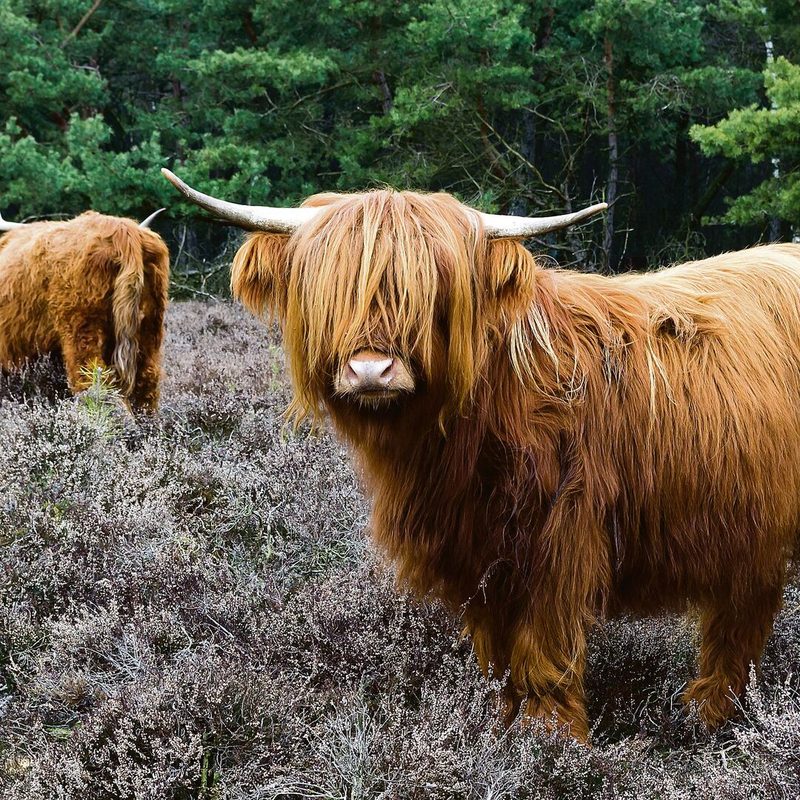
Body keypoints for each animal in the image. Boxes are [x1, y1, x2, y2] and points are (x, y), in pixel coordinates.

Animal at [163, 167, 800, 740]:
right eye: (329, 289)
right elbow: (497, 653)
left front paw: (550, 742)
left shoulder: (561, 538)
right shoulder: (479, 554)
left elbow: (542, 647)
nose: (371, 370)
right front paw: (499, 728)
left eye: (431, 294)